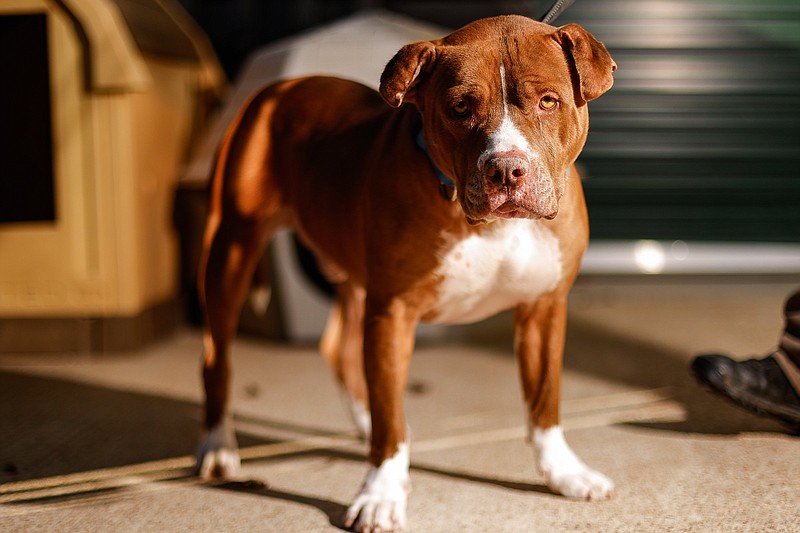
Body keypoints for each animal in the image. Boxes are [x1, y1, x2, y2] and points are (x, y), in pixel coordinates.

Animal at [195, 14, 620, 528]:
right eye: (460, 107)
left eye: (548, 101)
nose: (506, 170)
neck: (490, 224)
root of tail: (281, 87)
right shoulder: (393, 312)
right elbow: (391, 423)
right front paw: (381, 493)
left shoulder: (544, 307)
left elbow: (544, 400)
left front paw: (564, 472)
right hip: (231, 252)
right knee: (217, 356)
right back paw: (217, 446)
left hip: (352, 279)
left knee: (341, 351)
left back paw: (363, 423)